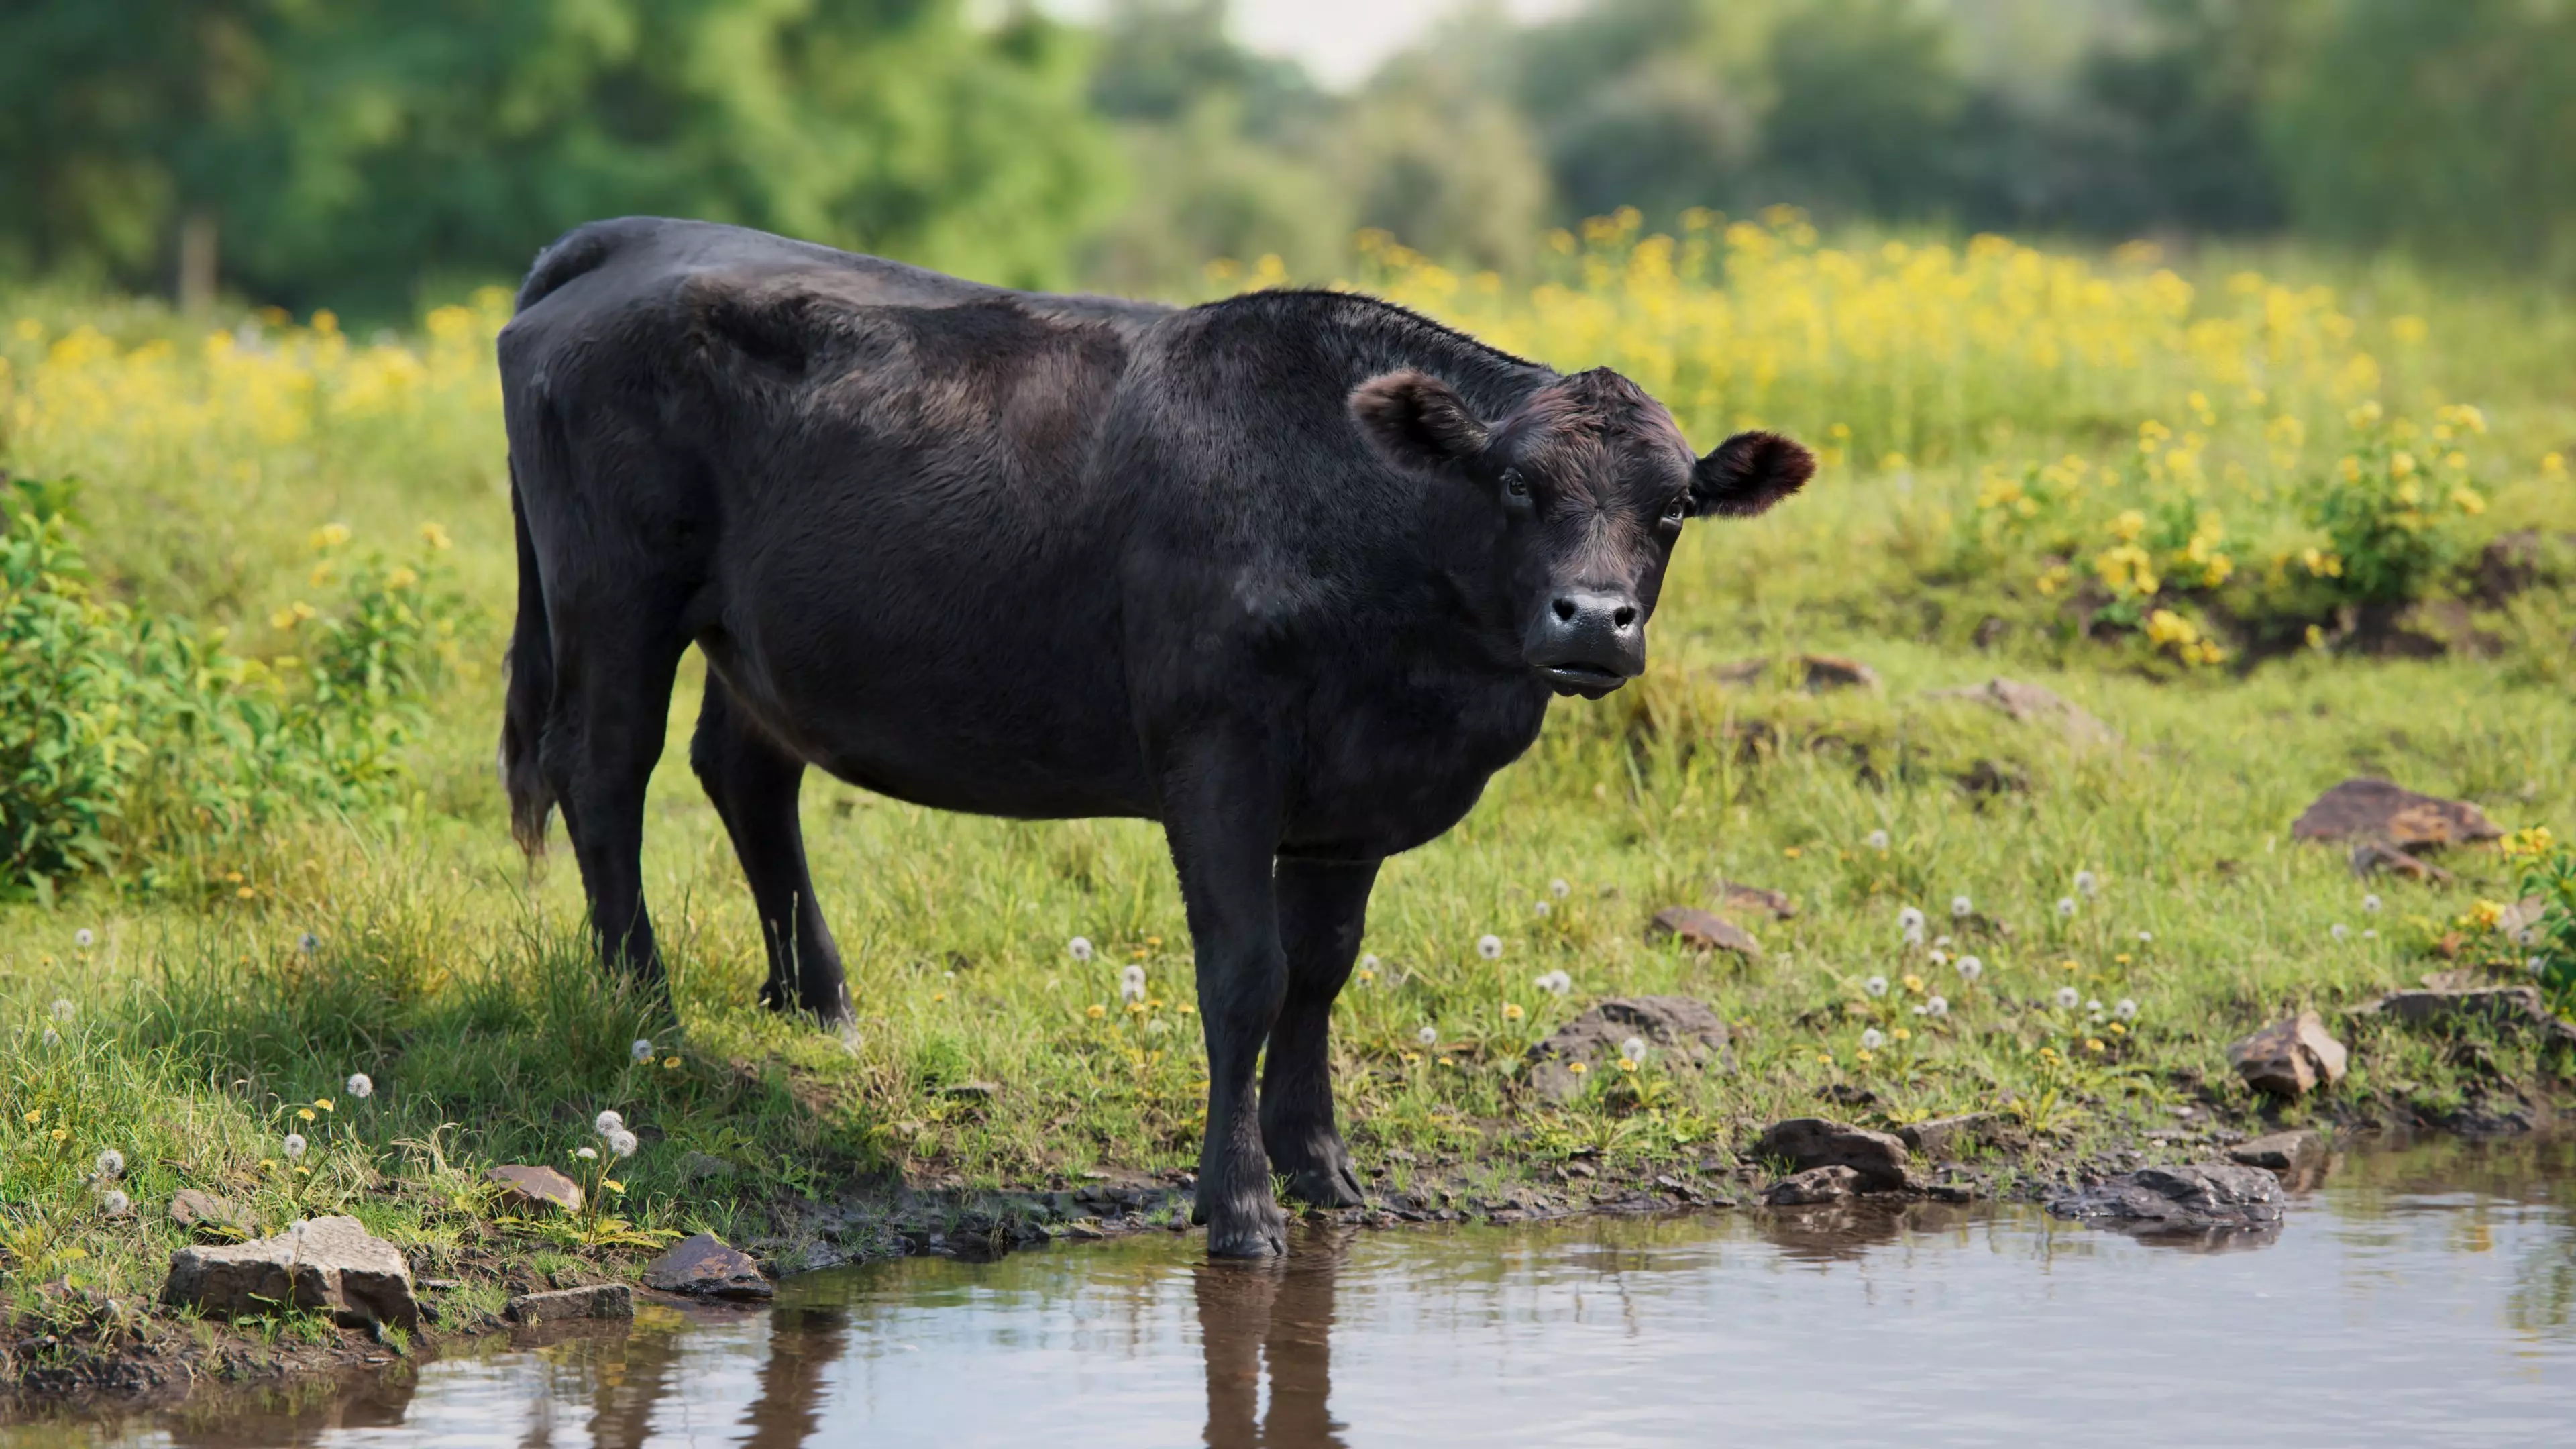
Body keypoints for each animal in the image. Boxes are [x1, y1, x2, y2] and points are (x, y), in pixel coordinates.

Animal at [497, 218, 1812, 1256]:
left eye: (1672, 509)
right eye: (1517, 487)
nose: (1593, 618)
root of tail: (638, 237)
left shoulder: (1353, 799)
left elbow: (1322, 971)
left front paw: (1321, 1165)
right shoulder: (1218, 755)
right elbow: (1245, 974)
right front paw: (1239, 1206)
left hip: (759, 633)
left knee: (747, 772)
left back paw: (817, 1004)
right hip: (617, 596)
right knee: (604, 775)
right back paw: (649, 1015)